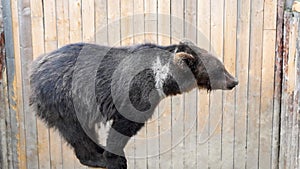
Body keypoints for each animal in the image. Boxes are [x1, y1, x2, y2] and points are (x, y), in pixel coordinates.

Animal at [28, 40, 239, 168]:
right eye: (219, 68)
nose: (234, 81)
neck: (160, 77)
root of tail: (36, 68)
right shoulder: (135, 93)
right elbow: (125, 125)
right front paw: (115, 158)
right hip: (66, 98)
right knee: (75, 131)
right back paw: (94, 156)